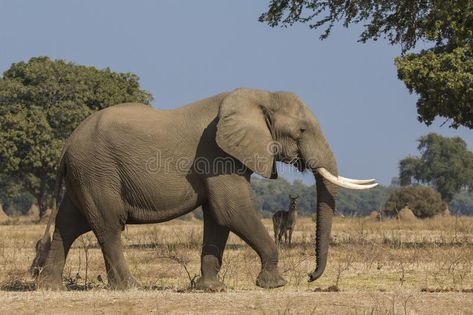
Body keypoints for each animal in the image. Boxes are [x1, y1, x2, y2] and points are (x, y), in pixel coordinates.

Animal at [31, 88, 376, 292]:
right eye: (301, 130)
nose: (310, 277)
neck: (257, 95)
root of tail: (66, 146)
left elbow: (218, 217)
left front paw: (210, 288)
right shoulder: (217, 153)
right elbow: (231, 209)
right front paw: (274, 285)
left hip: (85, 175)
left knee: (68, 224)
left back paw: (51, 287)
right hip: (97, 171)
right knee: (108, 225)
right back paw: (129, 287)